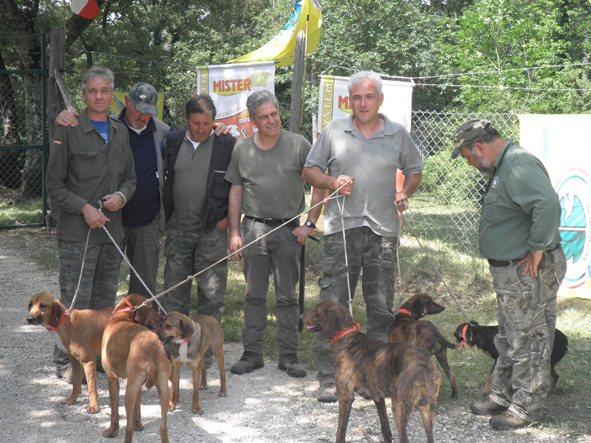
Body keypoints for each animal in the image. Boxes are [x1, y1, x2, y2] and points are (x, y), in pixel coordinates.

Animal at [101, 294, 171, 443]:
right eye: (151, 308)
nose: (162, 318)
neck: (121, 317)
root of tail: (152, 351)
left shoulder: (112, 378)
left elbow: (114, 413)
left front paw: (111, 431)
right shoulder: (136, 384)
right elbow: (137, 410)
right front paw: (139, 425)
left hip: (129, 391)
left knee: (129, 429)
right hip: (162, 391)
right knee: (163, 428)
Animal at [306, 302, 440, 443]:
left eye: (316, 309)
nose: (301, 316)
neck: (345, 335)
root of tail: (426, 368)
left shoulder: (345, 396)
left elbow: (340, 431)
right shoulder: (379, 398)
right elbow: (385, 428)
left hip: (399, 409)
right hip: (427, 411)